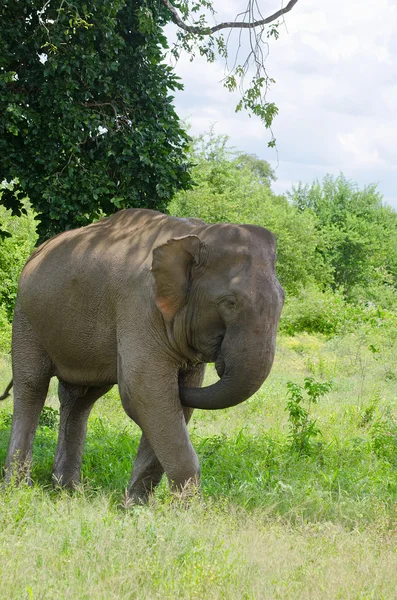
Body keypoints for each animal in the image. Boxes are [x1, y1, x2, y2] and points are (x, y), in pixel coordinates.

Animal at [0, 210, 284, 502]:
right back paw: (18, 491)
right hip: (26, 316)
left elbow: (174, 399)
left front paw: (136, 506)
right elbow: (144, 392)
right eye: (230, 303)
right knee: (32, 385)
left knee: (80, 398)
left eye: (283, 300)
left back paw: (67, 491)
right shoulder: (138, 305)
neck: (199, 234)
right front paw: (188, 509)